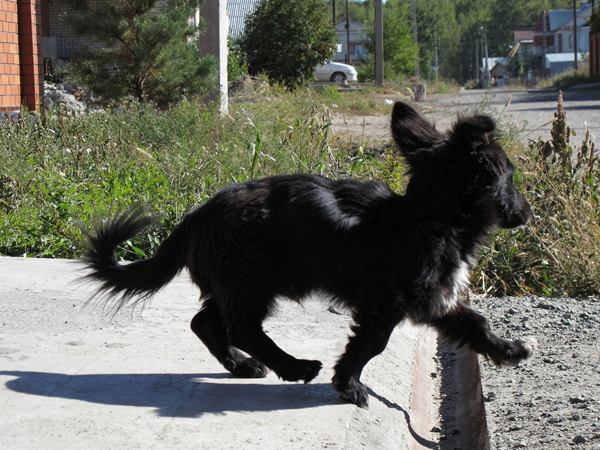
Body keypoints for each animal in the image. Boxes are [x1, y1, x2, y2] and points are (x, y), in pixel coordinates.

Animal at [83, 102, 536, 408]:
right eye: (511, 177)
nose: (529, 213)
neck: (428, 217)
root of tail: (196, 215)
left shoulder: (434, 300)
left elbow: (475, 323)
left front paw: (508, 350)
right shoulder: (386, 304)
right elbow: (371, 345)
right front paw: (348, 385)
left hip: (235, 282)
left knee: (206, 322)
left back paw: (243, 365)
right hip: (253, 280)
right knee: (241, 327)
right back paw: (294, 366)